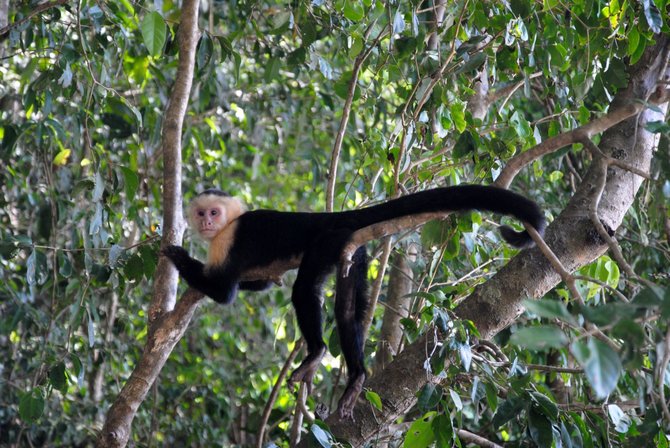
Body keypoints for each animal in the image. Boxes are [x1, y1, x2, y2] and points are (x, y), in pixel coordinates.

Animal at [165, 184, 548, 418]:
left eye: (214, 212)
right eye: (202, 213)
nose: (206, 223)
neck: (229, 224)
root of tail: (334, 217)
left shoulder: (227, 241)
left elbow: (224, 291)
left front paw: (177, 256)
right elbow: (261, 285)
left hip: (326, 242)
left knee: (304, 290)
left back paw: (317, 352)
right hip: (352, 249)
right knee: (346, 310)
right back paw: (357, 378)